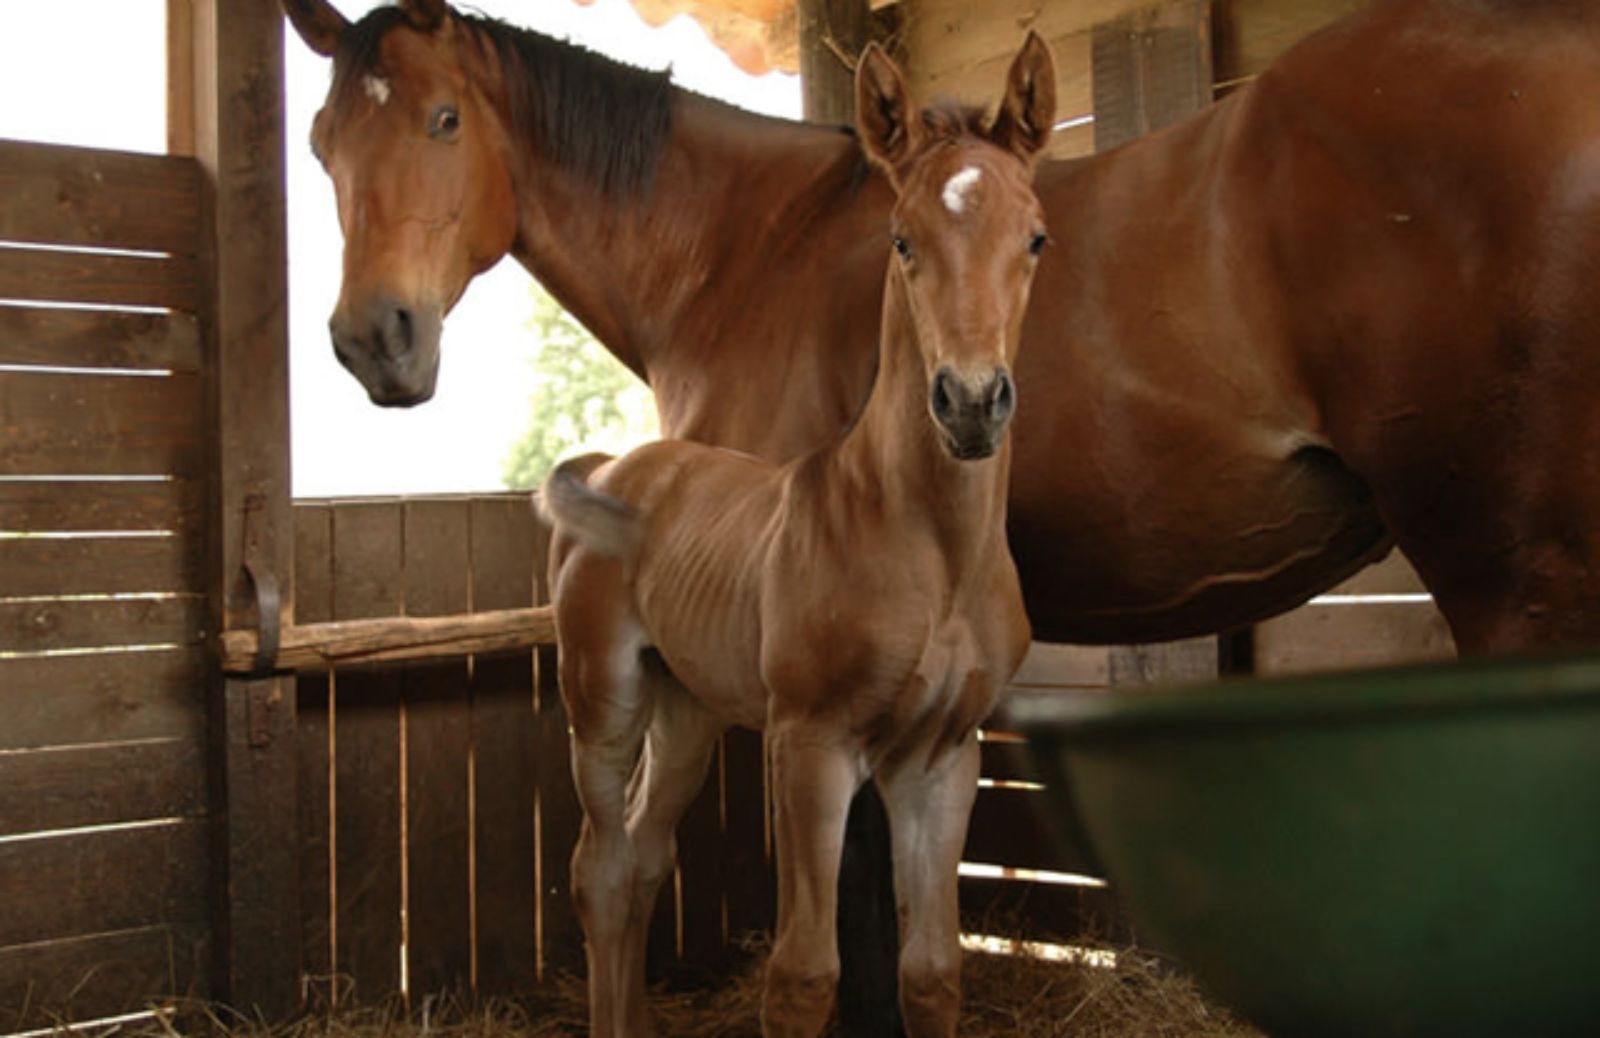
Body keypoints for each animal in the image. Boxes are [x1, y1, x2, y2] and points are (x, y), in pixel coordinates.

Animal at [544, 40, 1056, 1036]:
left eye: (1036, 238)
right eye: (901, 240)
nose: (972, 404)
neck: (930, 548)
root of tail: (614, 466)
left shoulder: (944, 759)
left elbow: (932, 973)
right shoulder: (811, 745)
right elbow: (804, 976)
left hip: (688, 707)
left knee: (642, 856)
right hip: (604, 697)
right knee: (598, 865)